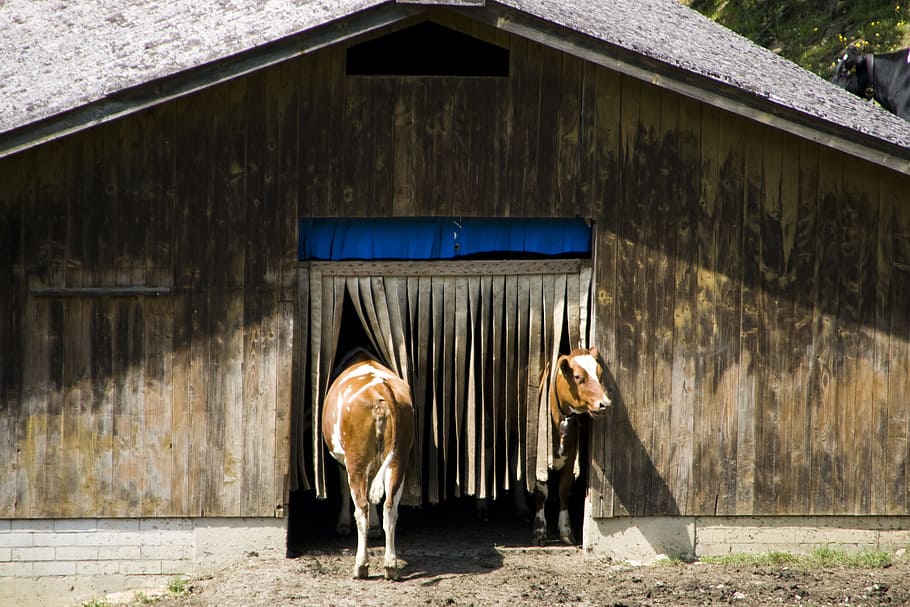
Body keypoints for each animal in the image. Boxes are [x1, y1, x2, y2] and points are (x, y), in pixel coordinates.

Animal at [321, 348, 416, 580]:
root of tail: (380, 387)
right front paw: (374, 528)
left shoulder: (342, 460)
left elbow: (345, 490)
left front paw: (343, 524)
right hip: (399, 458)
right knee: (390, 508)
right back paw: (390, 565)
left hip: (356, 459)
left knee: (361, 507)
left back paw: (361, 566)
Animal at [533, 347, 611, 546]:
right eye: (577, 376)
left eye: (600, 373)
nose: (605, 403)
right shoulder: (537, 460)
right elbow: (541, 493)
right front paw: (539, 530)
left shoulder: (570, 460)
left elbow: (563, 490)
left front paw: (566, 530)